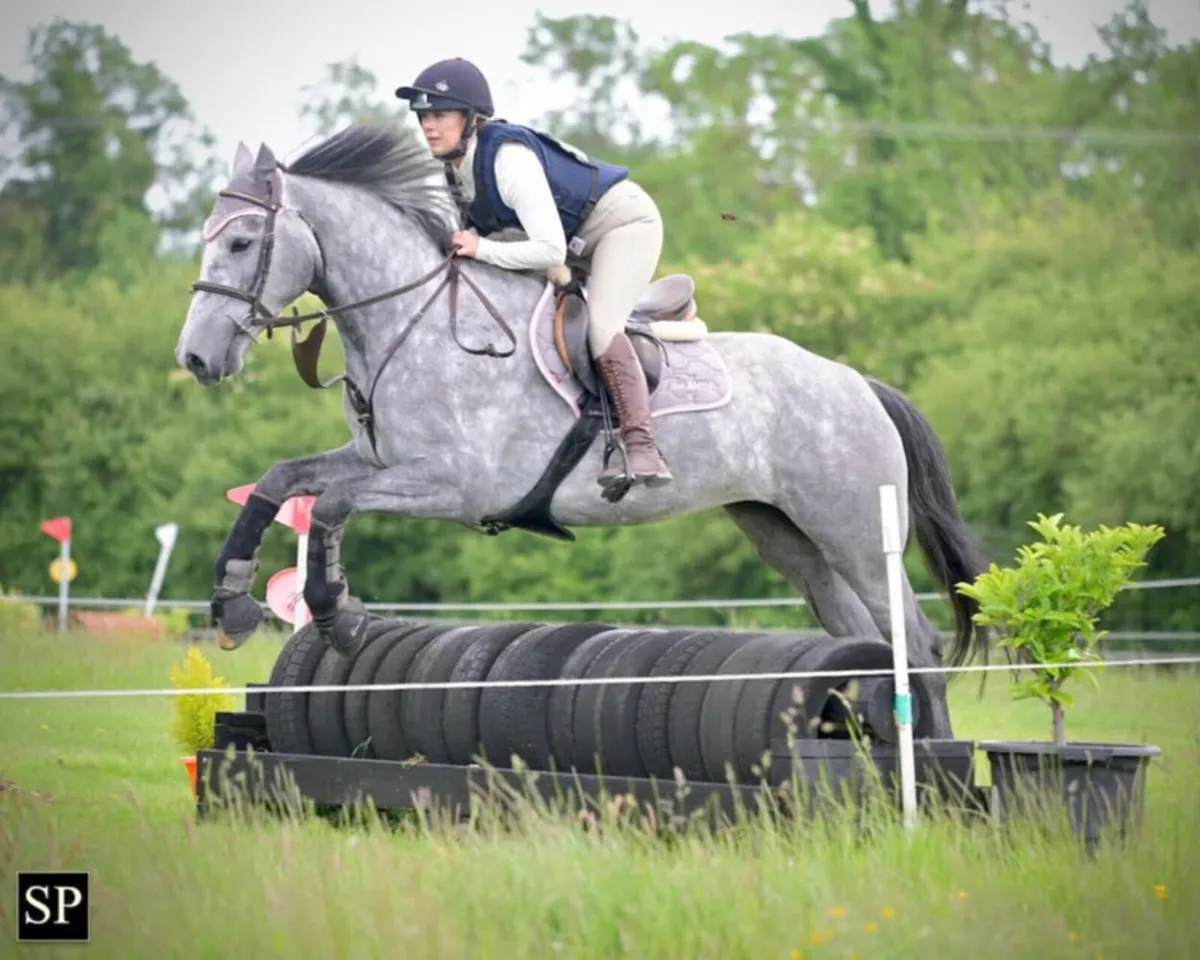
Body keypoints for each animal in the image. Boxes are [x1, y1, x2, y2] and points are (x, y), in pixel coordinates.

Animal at [174, 125, 990, 738]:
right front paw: (235, 603)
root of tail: (857, 383)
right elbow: (283, 481)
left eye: (241, 243)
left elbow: (335, 507)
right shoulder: (373, 459)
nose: (197, 358)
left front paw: (338, 616)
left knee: (915, 639)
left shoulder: (451, 485)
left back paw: (939, 767)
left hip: (853, 527)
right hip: (786, 533)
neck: (418, 320)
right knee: (862, 630)